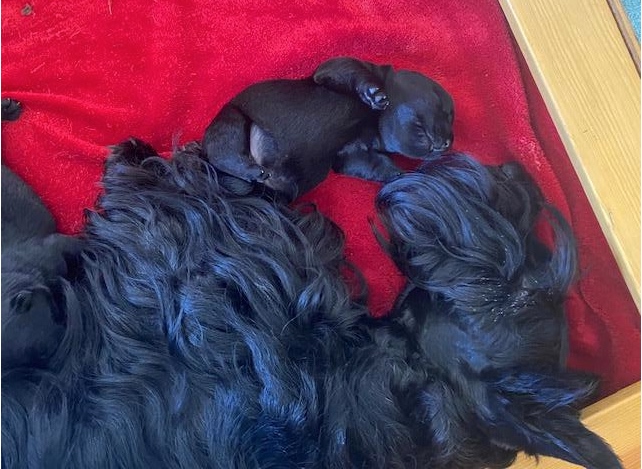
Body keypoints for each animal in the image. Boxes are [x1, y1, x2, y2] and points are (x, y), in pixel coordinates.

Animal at [202, 56, 454, 201]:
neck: (375, 123)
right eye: (444, 108)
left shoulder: (348, 155)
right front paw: (374, 93)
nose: (447, 143)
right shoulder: (331, 70)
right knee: (222, 152)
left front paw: (401, 174)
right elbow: (355, 71)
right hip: (232, 120)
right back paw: (250, 169)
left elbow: (374, 164)